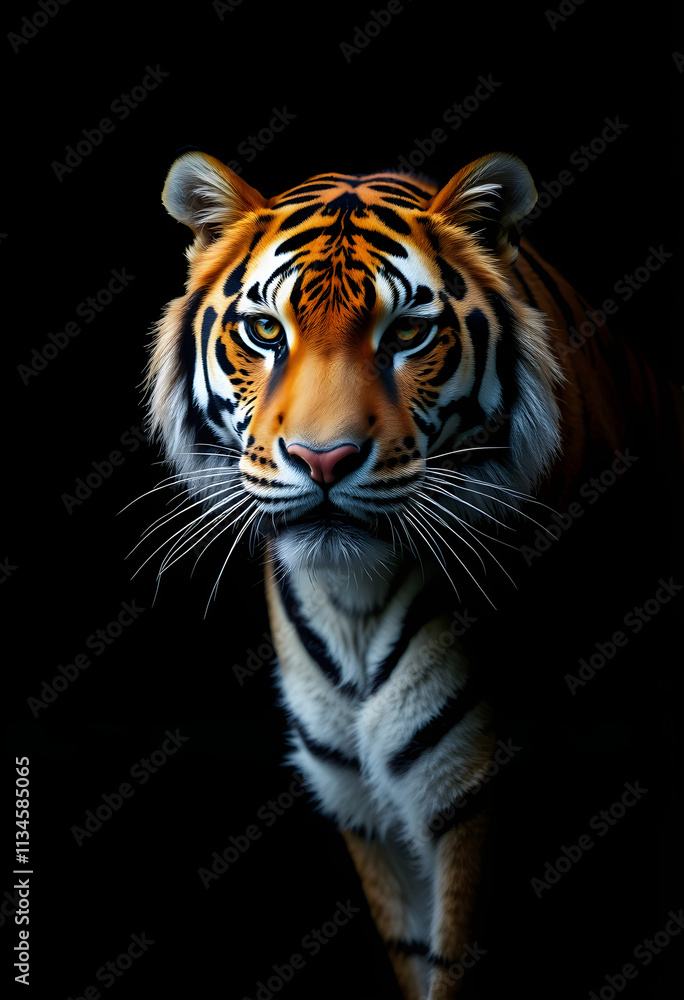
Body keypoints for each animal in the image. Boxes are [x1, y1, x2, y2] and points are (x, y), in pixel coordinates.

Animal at [145, 149, 675, 999]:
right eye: (265, 330)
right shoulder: (366, 810)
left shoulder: (476, 795)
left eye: (408, 334)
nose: (323, 458)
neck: (350, 604)